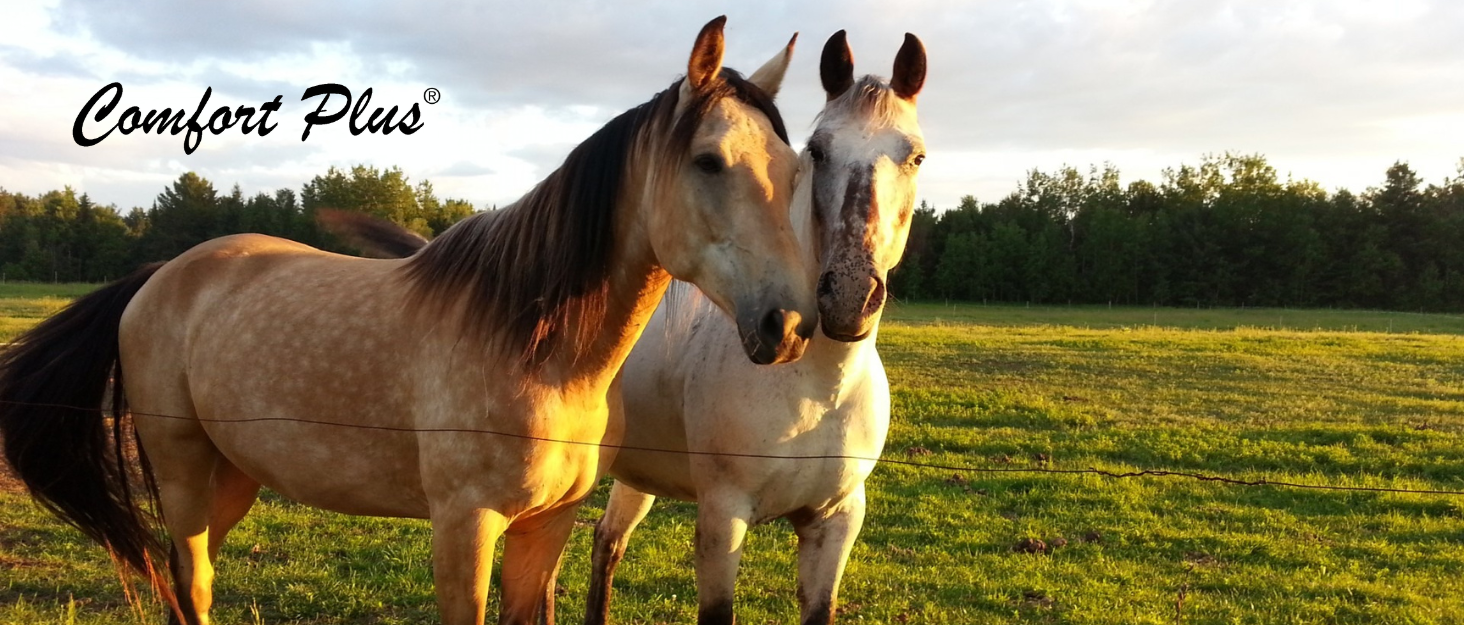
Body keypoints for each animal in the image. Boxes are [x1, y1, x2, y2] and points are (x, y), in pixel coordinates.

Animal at [0, 17, 815, 625]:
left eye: (793, 166)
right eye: (709, 161)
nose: (788, 325)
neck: (540, 352)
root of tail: (158, 277)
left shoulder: (547, 525)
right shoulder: (465, 526)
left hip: (230, 477)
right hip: (182, 473)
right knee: (190, 584)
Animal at [314, 30, 928, 625]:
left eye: (916, 156)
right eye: (818, 151)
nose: (847, 296)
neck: (818, 390)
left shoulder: (836, 523)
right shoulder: (723, 517)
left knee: (604, 545)